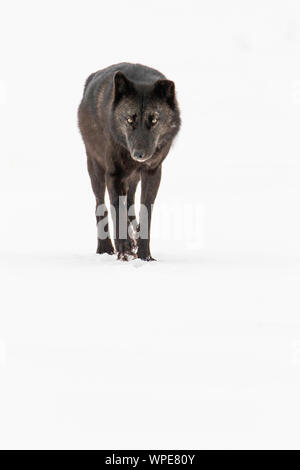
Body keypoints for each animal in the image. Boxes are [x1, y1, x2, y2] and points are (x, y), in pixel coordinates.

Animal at [78, 62, 180, 260]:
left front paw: (144, 255)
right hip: (96, 169)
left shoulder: (152, 172)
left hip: (133, 178)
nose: (138, 154)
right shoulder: (114, 175)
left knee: (130, 202)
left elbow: (145, 212)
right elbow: (117, 212)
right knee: (100, 205)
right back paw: (105, 247)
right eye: (129, 119)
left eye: (154, 120)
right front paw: (123, 248)